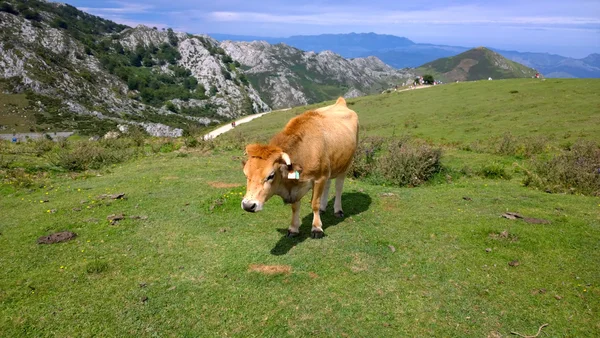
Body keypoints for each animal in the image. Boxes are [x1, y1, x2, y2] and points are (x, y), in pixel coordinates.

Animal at [240, 96, 360, 239]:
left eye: (271, 175)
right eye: (246, 175)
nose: (248, 205)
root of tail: (340, 102)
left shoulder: (319, 178)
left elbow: (314, 203)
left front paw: (317, 228)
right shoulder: (298, 186)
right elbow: (295, 207)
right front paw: (293, 228)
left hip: (345, 164)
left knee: (338, 187)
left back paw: (338, 210)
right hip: (330, 167)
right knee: (328, 185)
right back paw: (323, 208)